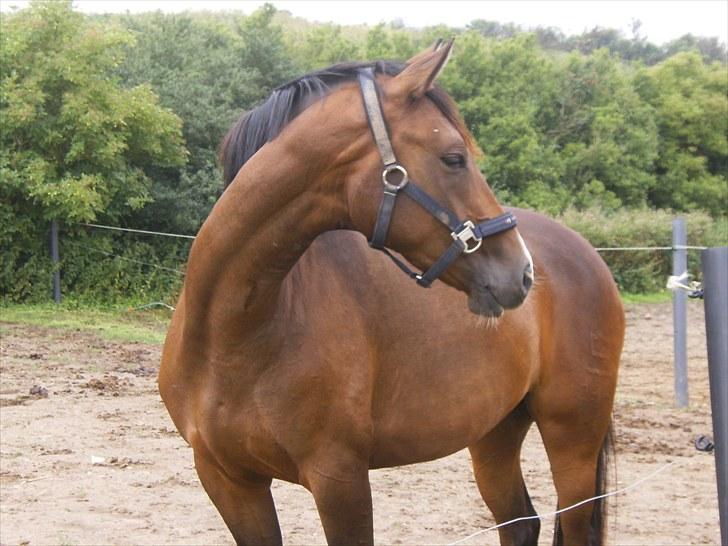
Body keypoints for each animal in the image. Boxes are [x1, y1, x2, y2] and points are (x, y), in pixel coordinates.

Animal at [159, 42, 624, 544]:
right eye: (454, 158)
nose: (521, 272)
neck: (234, 335)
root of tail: (587, 254)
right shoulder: (228, 480)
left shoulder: (340, 480)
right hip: (495, 433)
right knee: (520, 522)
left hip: (572, 440)